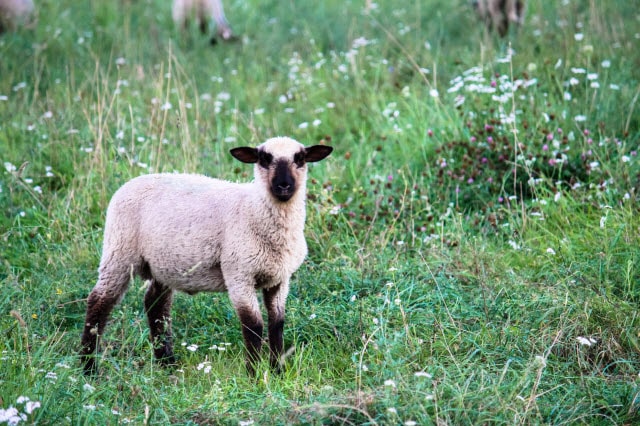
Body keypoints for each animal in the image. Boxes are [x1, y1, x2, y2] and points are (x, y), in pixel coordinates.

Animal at [79, 138, 336, 374]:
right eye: (264, 159)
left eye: (300, 158)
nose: (284, 186)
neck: (252, 209)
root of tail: (130, 183)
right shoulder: (239, 275)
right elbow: (253, 325)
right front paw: (253, 373)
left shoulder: (279, 278)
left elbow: (277, 323)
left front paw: (277, 370)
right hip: (119, 253)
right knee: (99, 302)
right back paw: (88, 367)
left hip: (163, 264)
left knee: (155, 303)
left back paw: (166, 362)